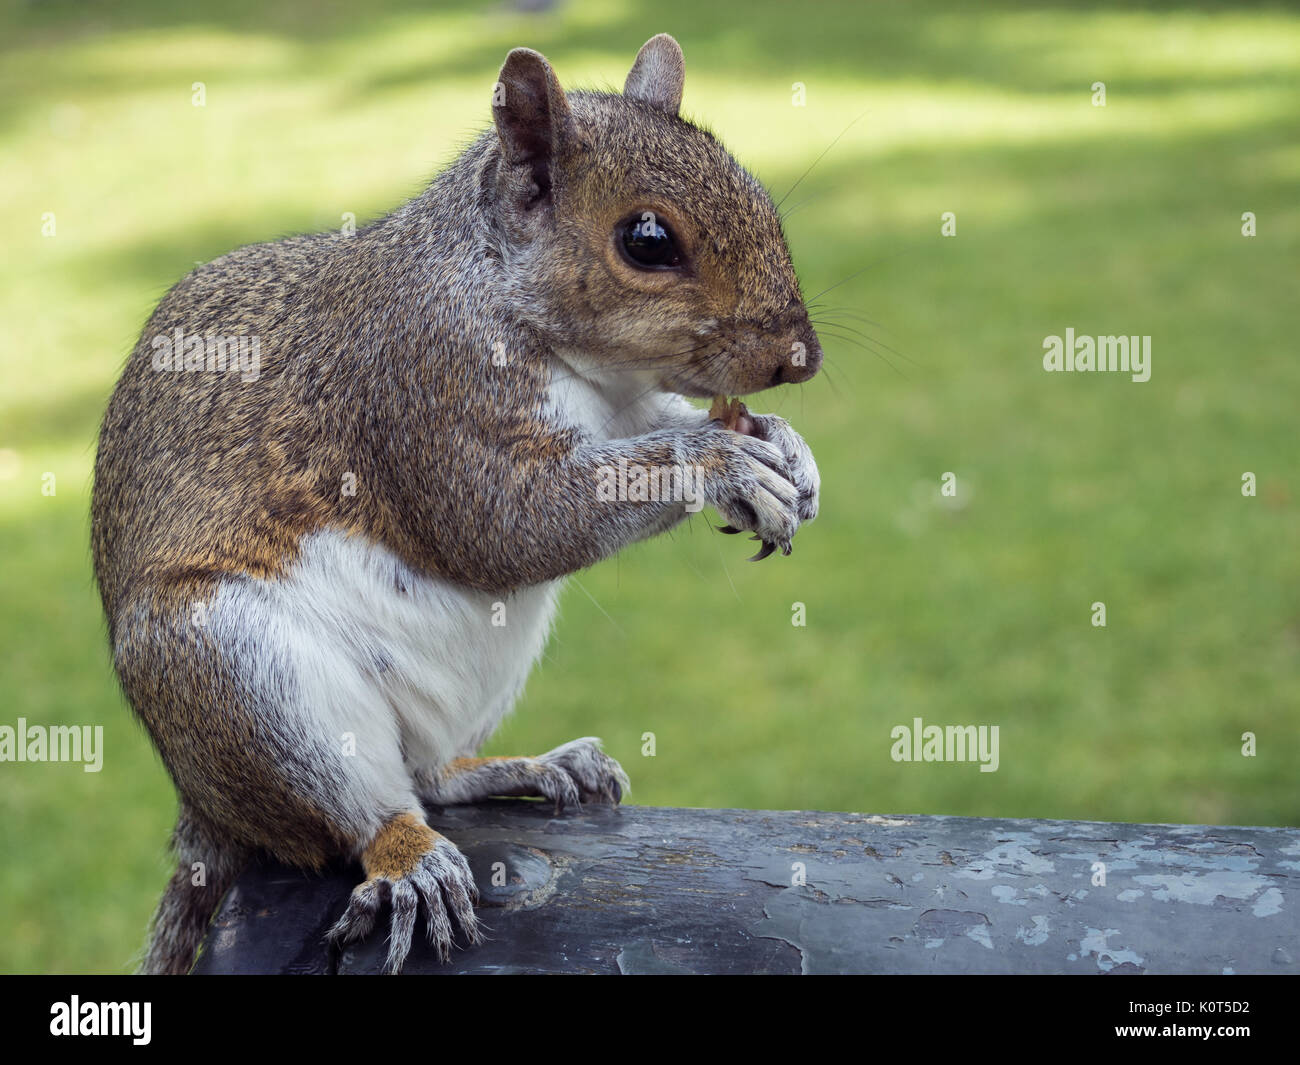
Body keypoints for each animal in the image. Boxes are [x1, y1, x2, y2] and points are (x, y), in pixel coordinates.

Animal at [91, 35, 821, 972]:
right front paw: (723, 460)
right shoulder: (423, 383)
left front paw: (789, 452)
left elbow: (654, 428)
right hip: (237, 676)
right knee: (363, 811)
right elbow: (502, 522)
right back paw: (410, 859)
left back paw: (527, 765)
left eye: (757, 191)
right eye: (647, 240)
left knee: (433, 775)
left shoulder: (624, 408)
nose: (800, 356)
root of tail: (205, 812)